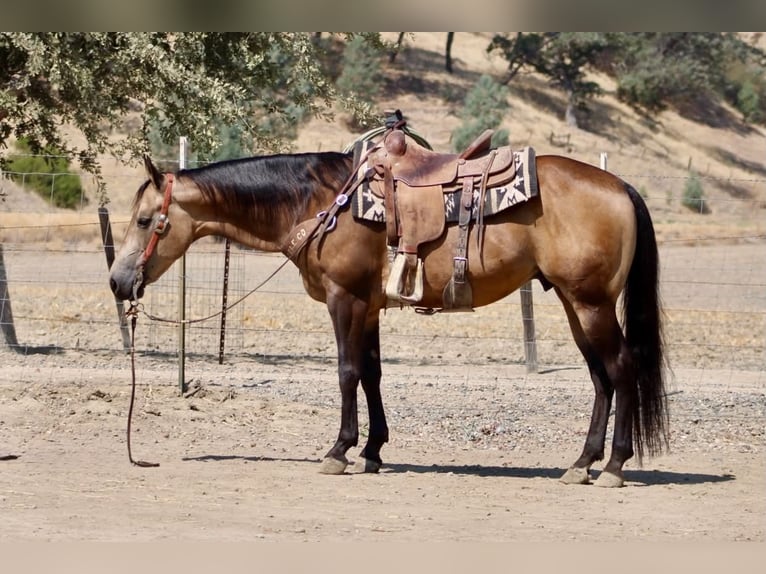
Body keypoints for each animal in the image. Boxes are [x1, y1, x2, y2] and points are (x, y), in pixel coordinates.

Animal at [109, 132, 669, 488]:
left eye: (145, 220)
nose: (117, 281)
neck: (321, 202)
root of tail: (620, 186)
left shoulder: (345, 298)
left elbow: (347, 371)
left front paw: (339, 451)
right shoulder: (371, 305)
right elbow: (372, 373)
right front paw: (373, 451)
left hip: (591, 303)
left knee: (621, 370)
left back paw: (614, 466)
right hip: (576, 305)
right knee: (600, 378)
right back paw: (581, 463)